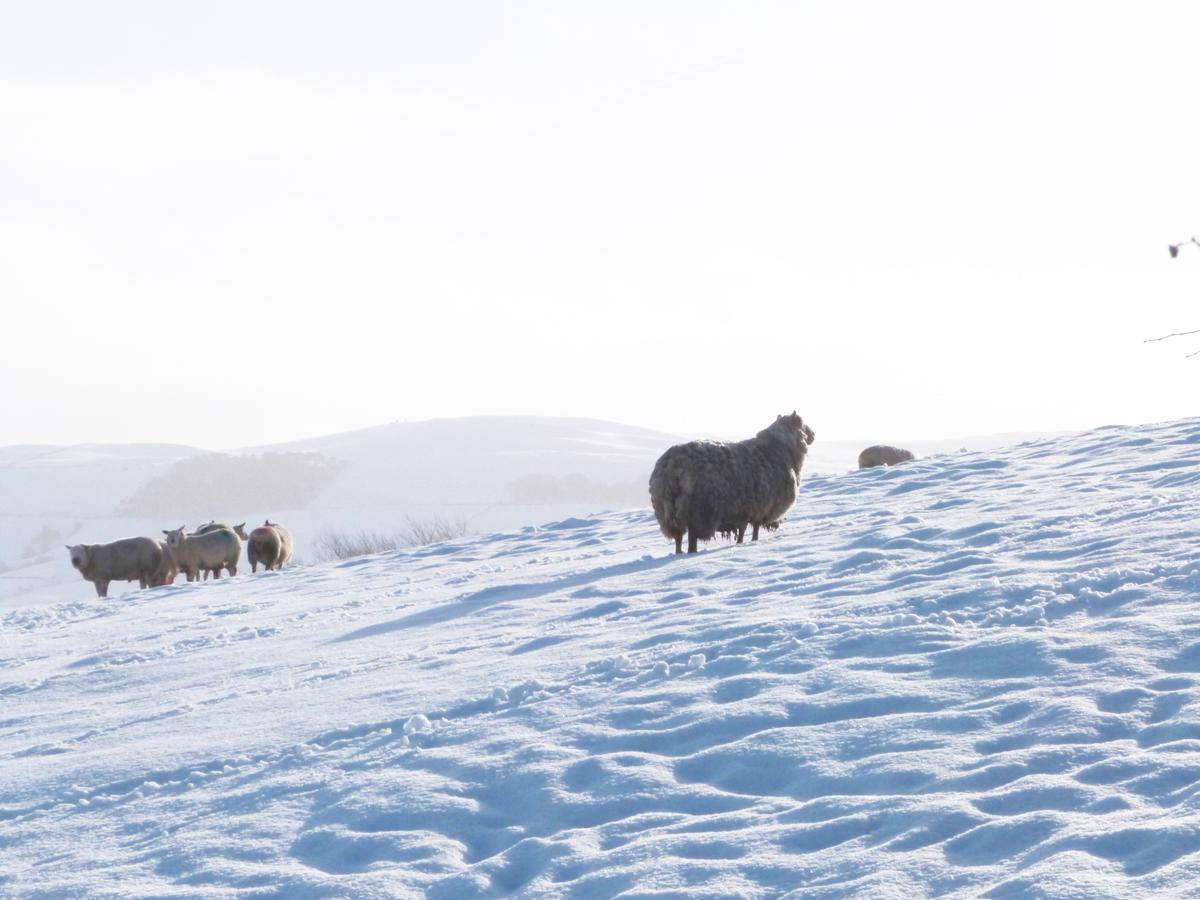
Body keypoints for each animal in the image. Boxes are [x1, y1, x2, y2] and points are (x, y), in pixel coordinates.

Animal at [648, 412, 816, 554]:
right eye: (802, 424)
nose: (813, 435)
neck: (782, 447)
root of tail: (671, 465)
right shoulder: (761, 507)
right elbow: (753, 531)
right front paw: (753, 542)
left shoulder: (748, 510)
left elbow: (743, 532)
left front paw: (742, 543)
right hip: (698, 512)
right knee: (691, 541)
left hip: (667, 511)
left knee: (678, 538)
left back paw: (678, 553)